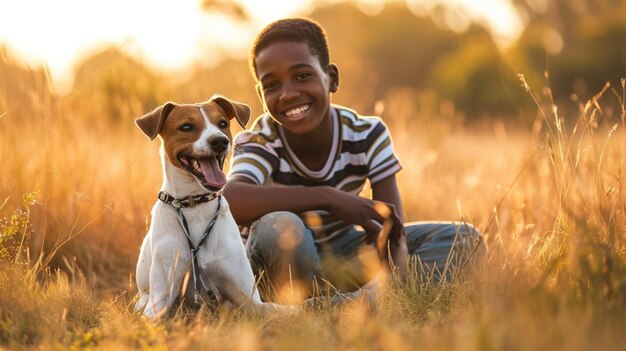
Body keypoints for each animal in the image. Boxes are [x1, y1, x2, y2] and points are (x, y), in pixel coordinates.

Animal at [134, 95, 290, 320]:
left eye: (223, 124)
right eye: (186, 127)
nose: (219, 141)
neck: (194, 203)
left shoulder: (249, 299)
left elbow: (274, 310)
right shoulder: (159, 299)